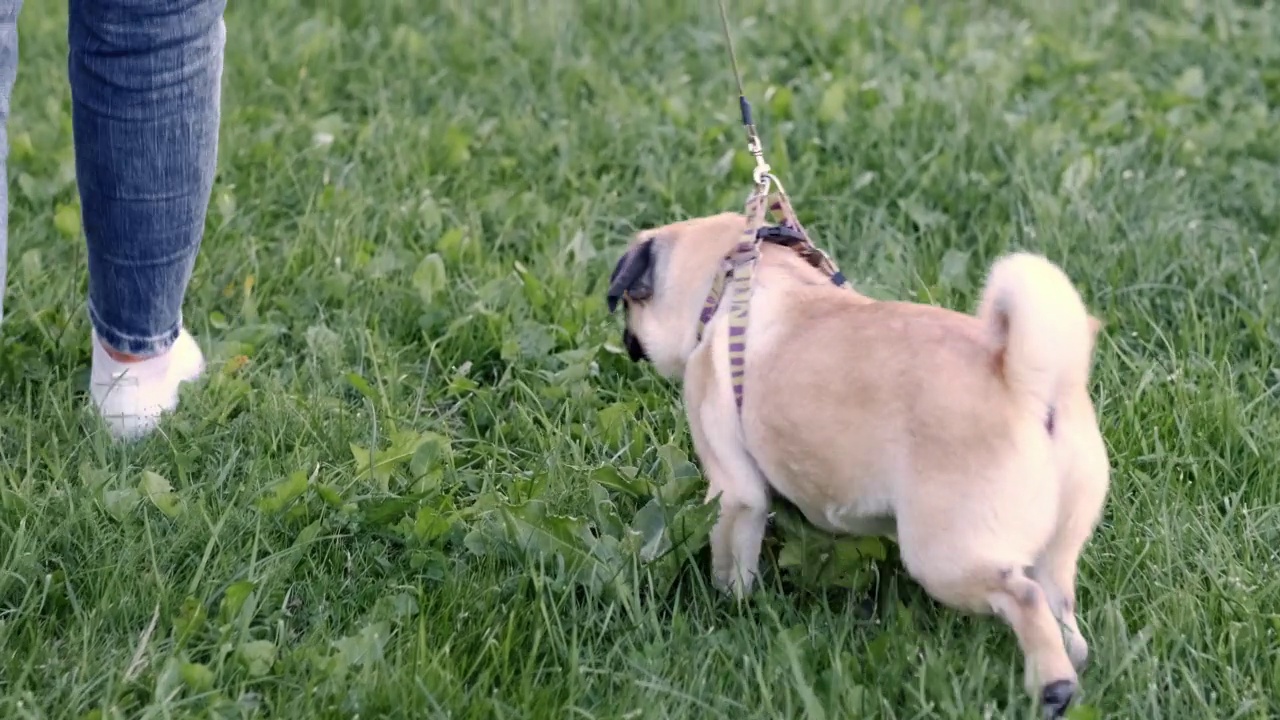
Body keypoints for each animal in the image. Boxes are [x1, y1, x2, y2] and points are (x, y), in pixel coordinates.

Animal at [606, 210, 1111, 712]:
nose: (626, 338)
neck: (739, 278)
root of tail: (1028, 386)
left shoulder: (735, 491)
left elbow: (733, 556)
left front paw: (730, 608)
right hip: (1058, 543)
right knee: (1060, 605)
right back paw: (1072, 666)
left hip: (942, 556)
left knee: (1024, 597)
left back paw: (1054, 688)